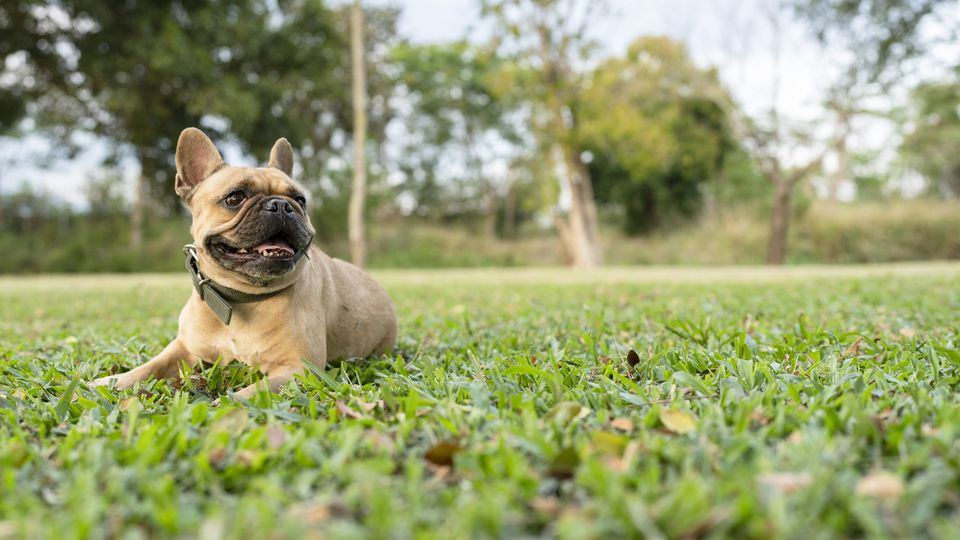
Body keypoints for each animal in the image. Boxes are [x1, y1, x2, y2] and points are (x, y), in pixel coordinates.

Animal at [93, 127, 398, 400]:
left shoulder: (297, 369)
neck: (241, 296)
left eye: (300, 200)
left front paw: (221, 405)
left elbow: (249, 393)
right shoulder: (184, 348)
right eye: (235, 197)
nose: (281, 205)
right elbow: (151, 365)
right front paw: (113, 380)